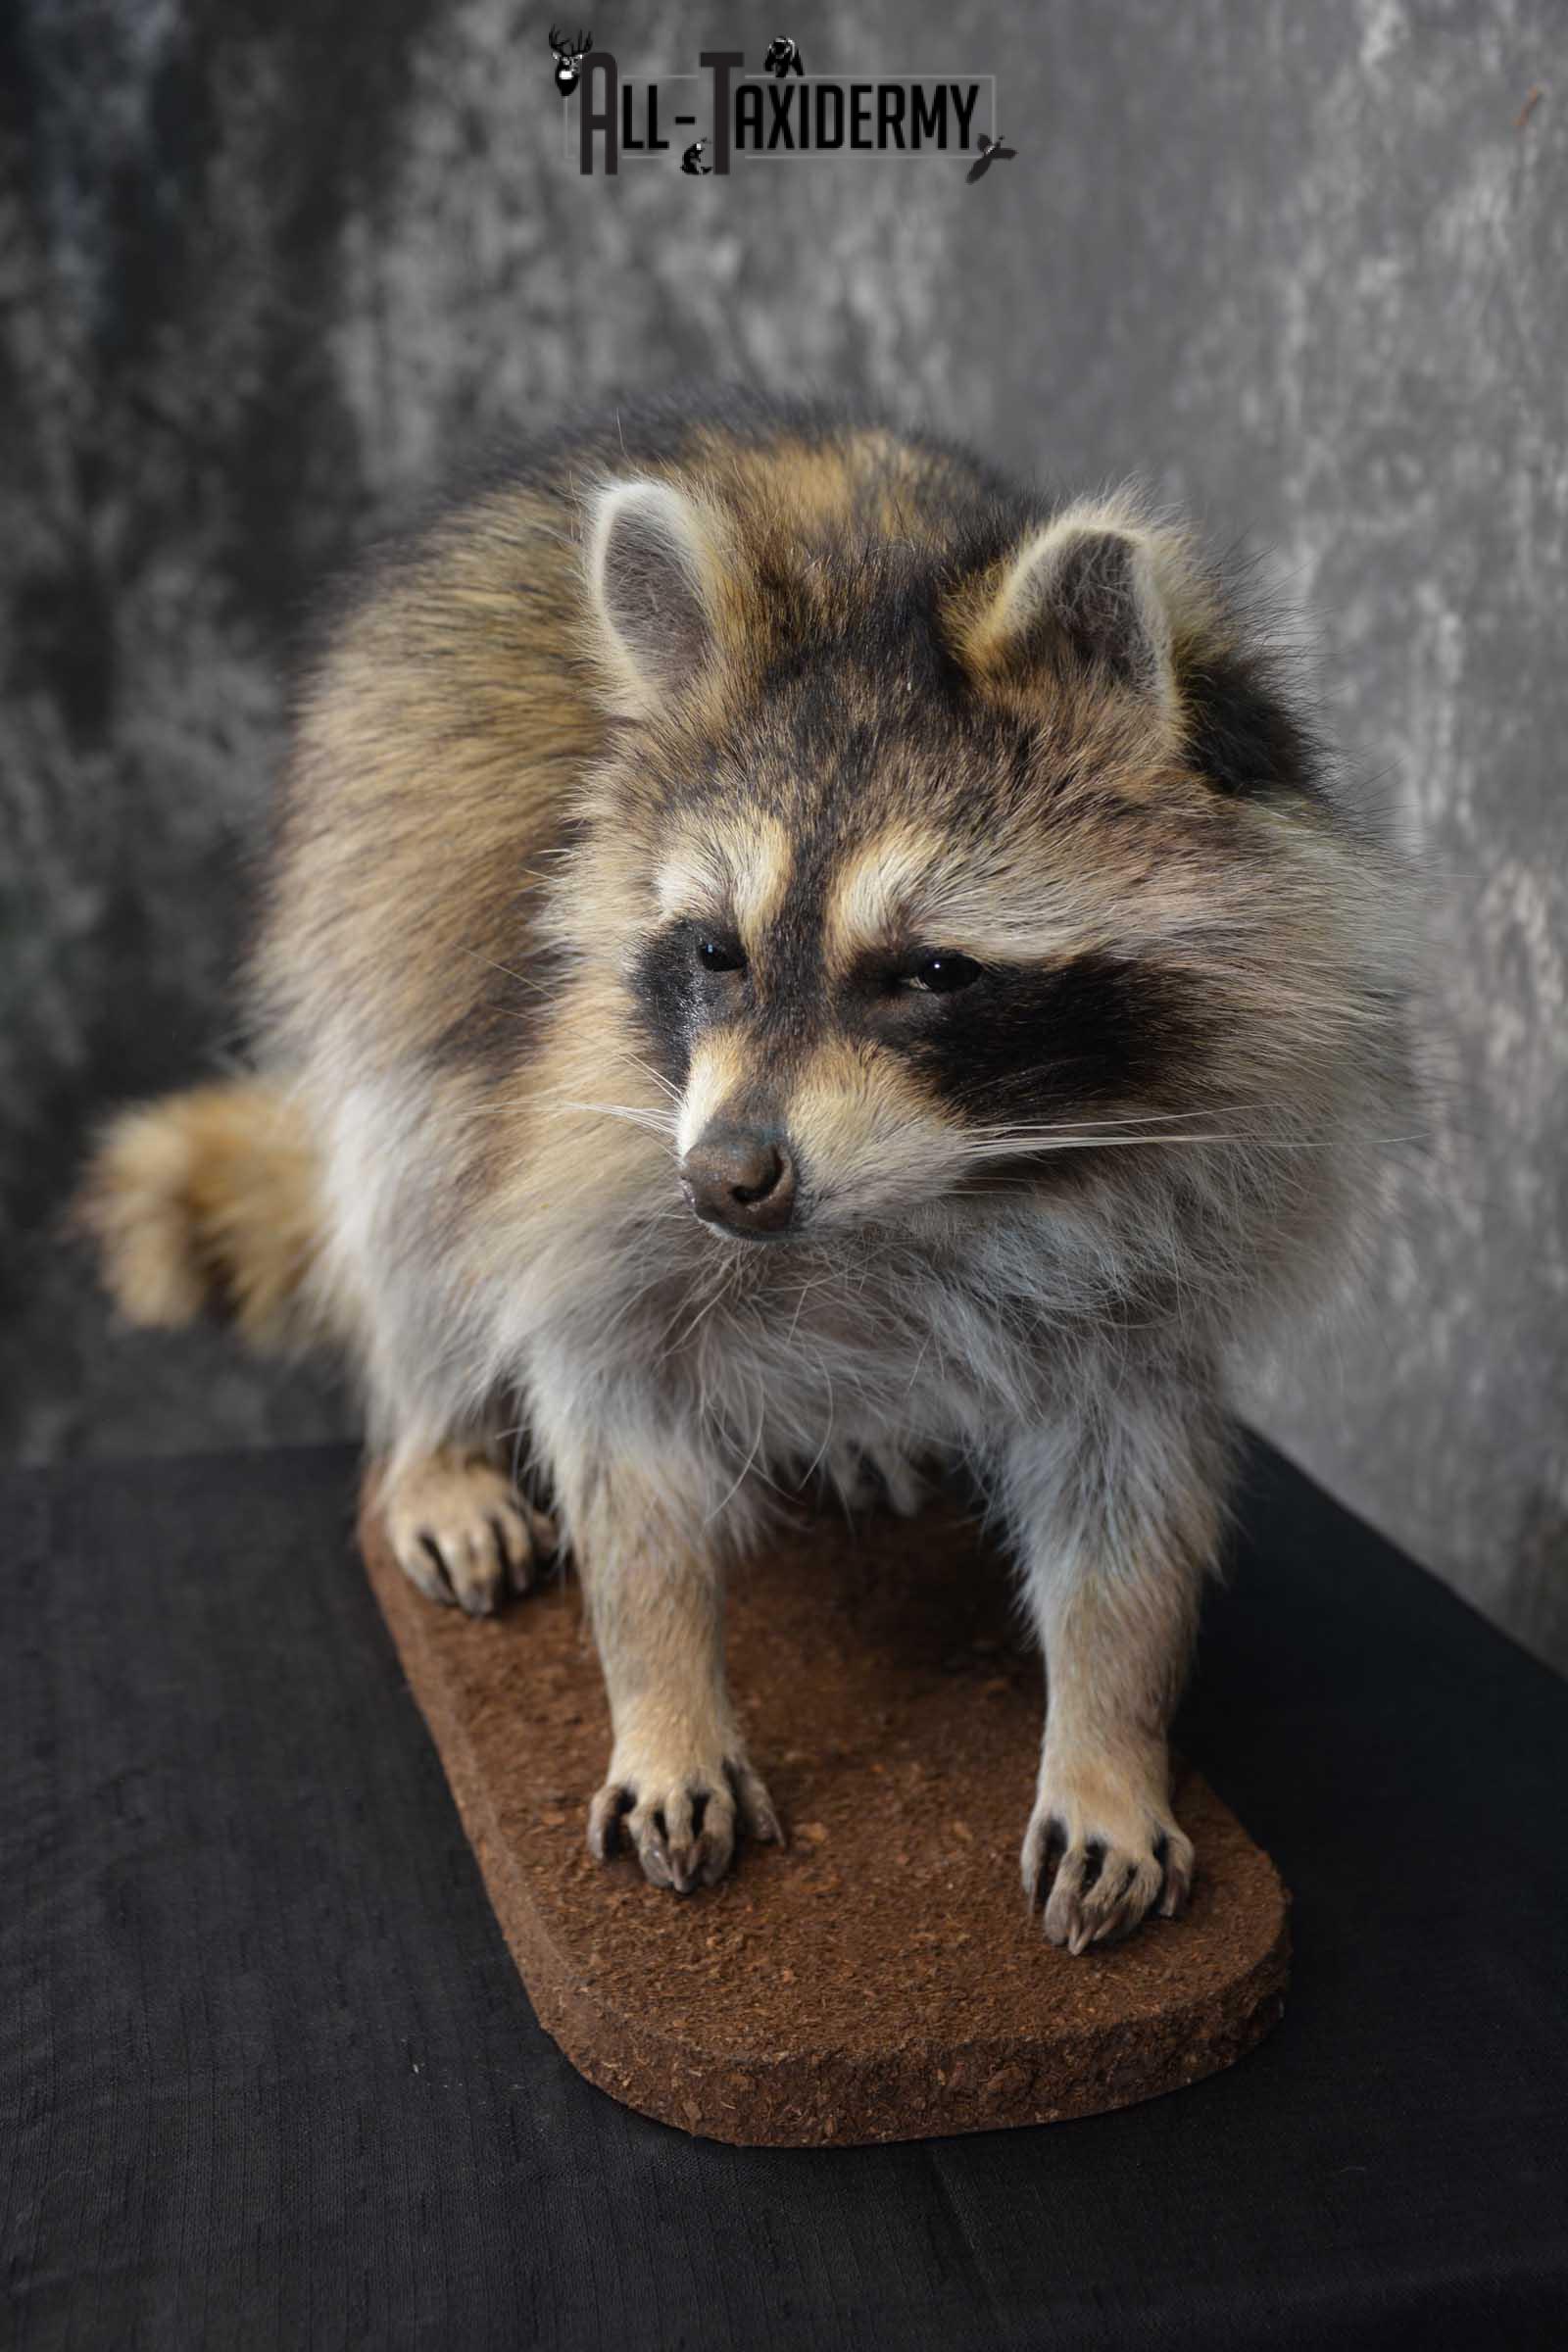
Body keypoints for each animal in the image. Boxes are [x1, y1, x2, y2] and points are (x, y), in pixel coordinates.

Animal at [82, 391, 1409, 1954]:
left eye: (932, 972)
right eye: (715, 949)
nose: (729, 1180)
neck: (928, 1199)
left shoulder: (1181, 1196)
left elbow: (1128, 1487)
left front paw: (1110, 1734)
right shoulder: (591, 1126)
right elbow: (610, 1423)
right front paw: (660, 1690)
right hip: (373, 906)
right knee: (408, 1188)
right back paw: (433, 1437)